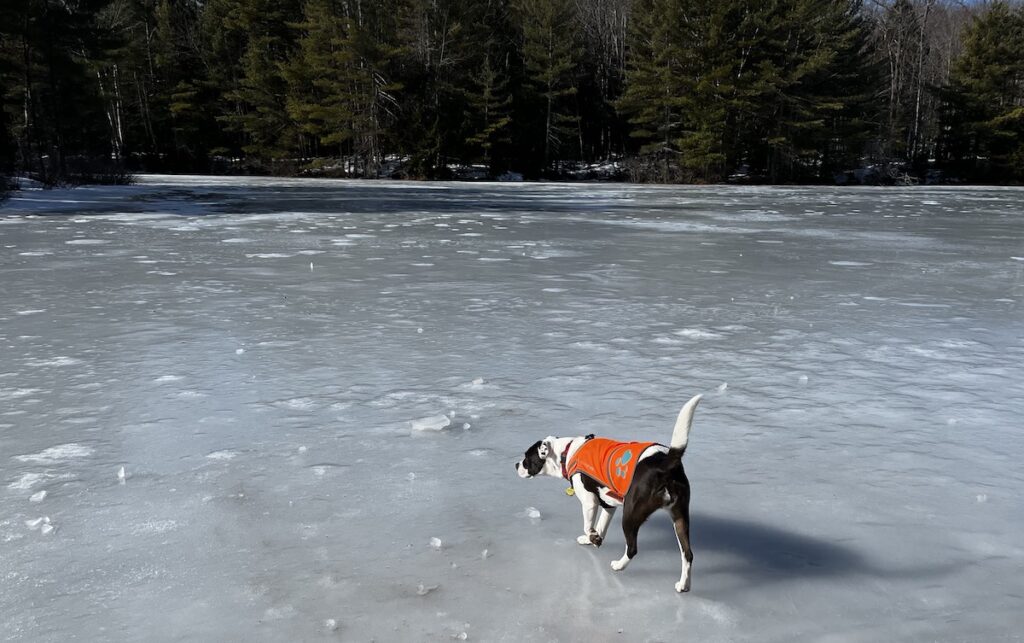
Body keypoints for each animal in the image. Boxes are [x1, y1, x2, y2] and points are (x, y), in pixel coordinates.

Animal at [516, 391, 700, 593]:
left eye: (526, 458)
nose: (516, 465)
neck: (567, 452)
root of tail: (665, 464)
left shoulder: (589, 502)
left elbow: (588, 525)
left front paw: (592, 537)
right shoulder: (608, 503)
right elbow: (601, 526)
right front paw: (592, 539)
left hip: (630, 514)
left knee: (632, 548)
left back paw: (619, 565)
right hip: (679, 516)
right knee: (688, 554)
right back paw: (684, 585)